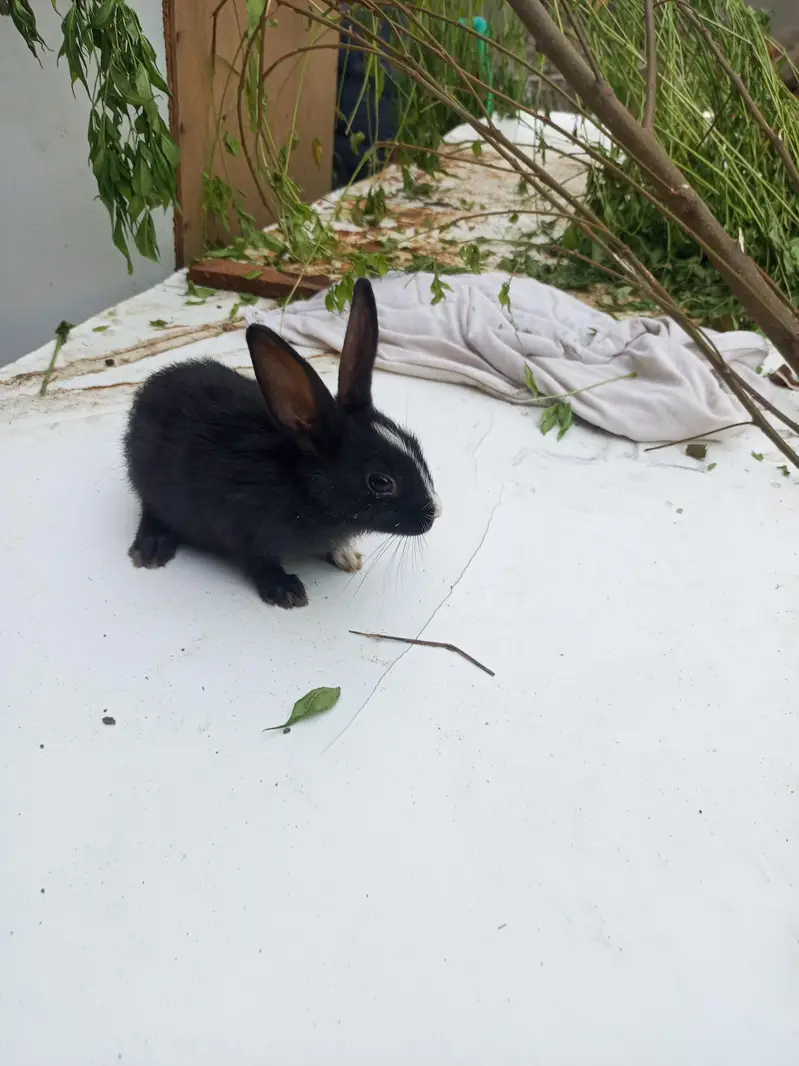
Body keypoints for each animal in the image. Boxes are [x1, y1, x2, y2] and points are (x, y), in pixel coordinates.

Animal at [123, 278, 441, 608]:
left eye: (415, 444)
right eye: (380, 482)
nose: (435, 512)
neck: (305, 487)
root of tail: (151, 388)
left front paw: (348, 557)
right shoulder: (245, 530)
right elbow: (259, 561)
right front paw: (287, 591)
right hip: (148, 480)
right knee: (151, 509)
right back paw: (150, 550)